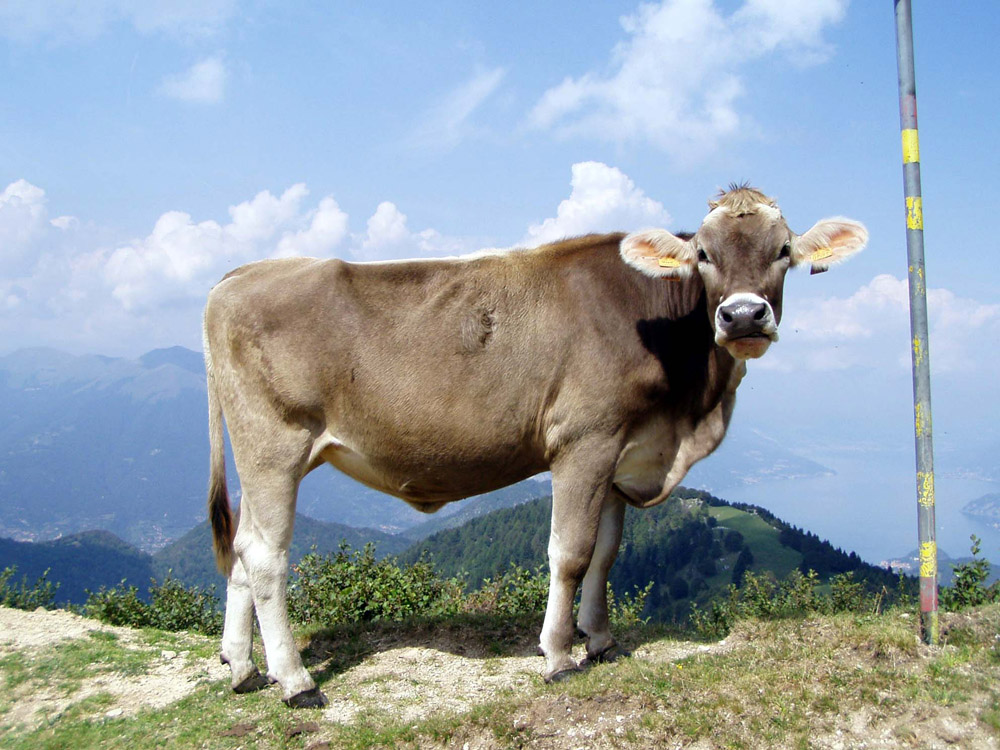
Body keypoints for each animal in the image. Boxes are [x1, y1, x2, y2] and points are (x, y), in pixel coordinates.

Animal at [203, 185, 867, 707]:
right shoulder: (584, 441)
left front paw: (600, 640)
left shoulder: (622, 450)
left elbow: (606, 555)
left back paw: (243, 668)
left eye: (783, 251)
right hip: (276, 444)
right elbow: (570, 553)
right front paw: (558, 656)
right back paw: (296, 681)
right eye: (703, 254)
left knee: (241, 544)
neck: (686, 417)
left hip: (257, 452)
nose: (743, 316)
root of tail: (241, 273)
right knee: (266, 554)